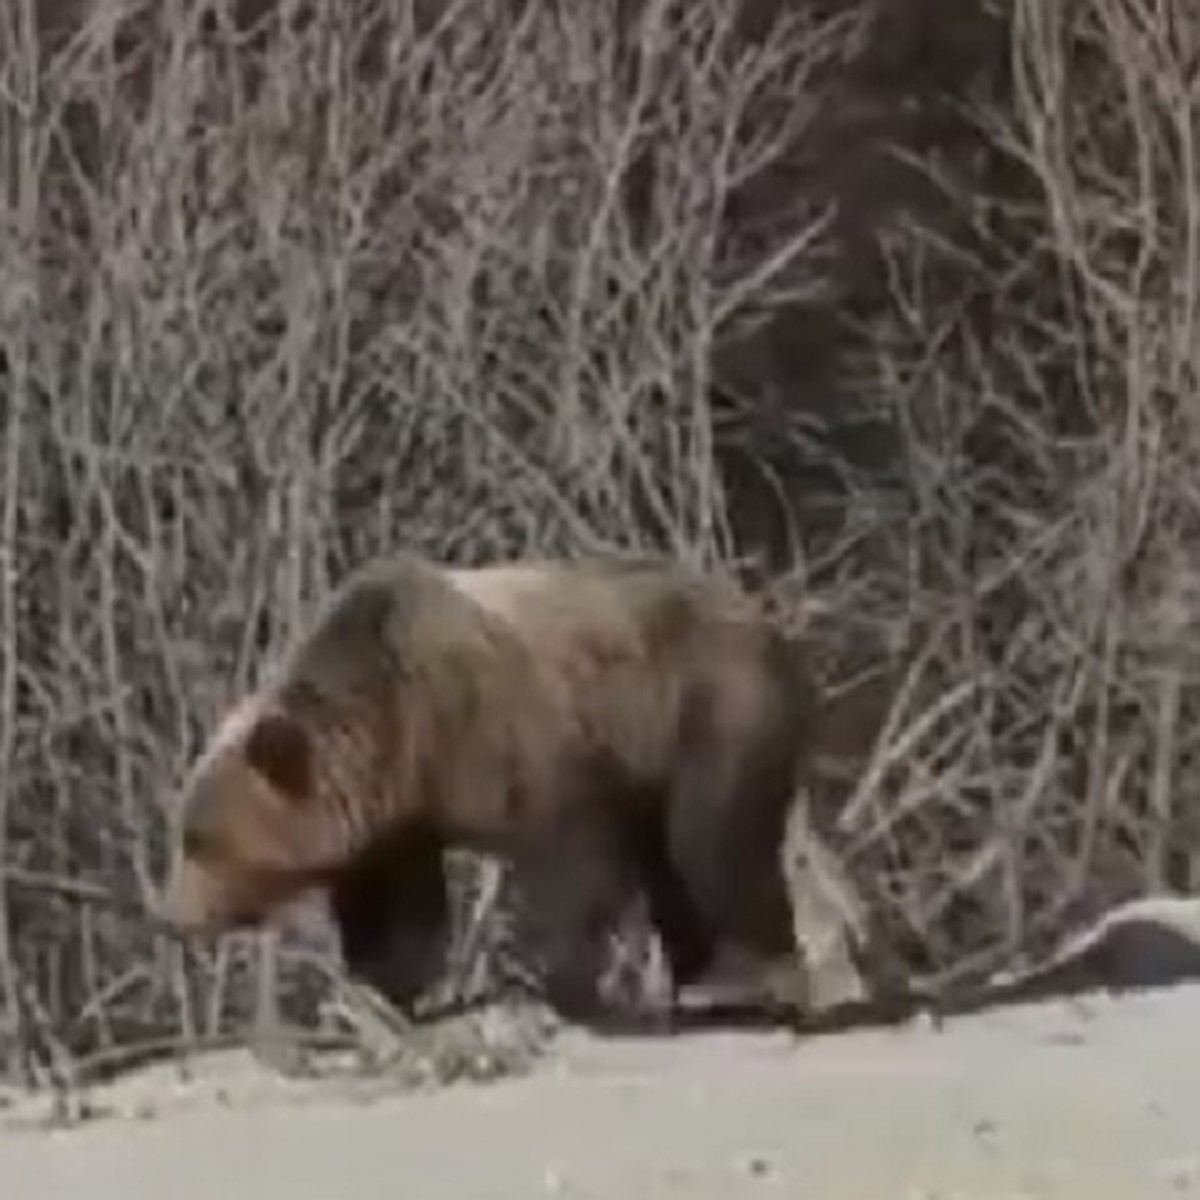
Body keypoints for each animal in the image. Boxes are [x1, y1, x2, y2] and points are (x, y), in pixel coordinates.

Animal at [154, 552, 820, 1032]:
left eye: (199, 840)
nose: (170, 917)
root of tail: (766, 620)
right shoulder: (399, 815)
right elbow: (399, 909)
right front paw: (374, 992)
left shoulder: (527, 737)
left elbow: (574, 861)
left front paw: (559, 982)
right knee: (673, 864)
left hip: (709, 709)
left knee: (714, 841)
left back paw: (749, 980)